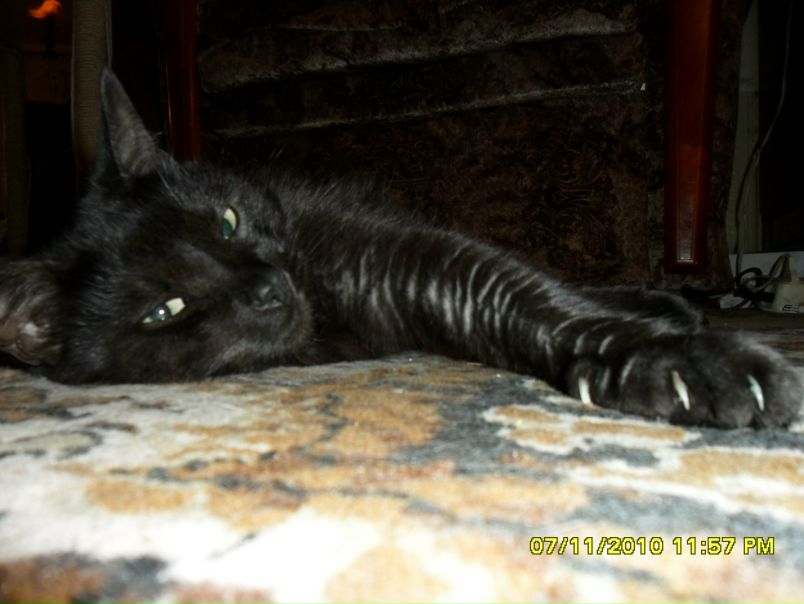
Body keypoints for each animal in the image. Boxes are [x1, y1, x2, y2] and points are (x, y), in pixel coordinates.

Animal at [0, 70, 801, 429]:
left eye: (226, 222)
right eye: (165, 309)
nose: (267, 289)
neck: (326, 303)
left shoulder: (410, 251)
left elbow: (529, 294)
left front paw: (673, 362)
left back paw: (670, 306)